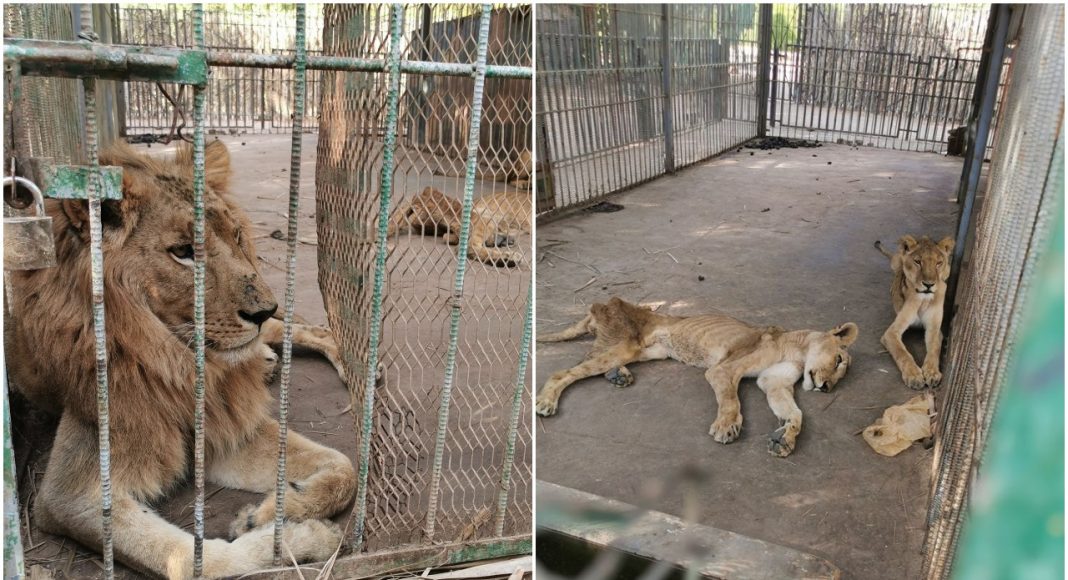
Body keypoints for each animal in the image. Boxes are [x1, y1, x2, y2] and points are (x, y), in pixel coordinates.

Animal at [6, 142, 354, 580]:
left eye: (236, 236)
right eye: (184, 252)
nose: (263, 309)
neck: (176, 362)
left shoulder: (225, 424)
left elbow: (344, 467)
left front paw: (269, 512)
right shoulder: (69, 494)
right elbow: (191, 562)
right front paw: (303, 537)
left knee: (308, 329)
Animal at [534, 299, 858, 459]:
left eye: (841, 374)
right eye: (839, 361)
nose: (826, 388)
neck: (798, 351)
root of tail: (600, 305)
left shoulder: (773, 383)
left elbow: (795, 413)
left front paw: (785, 439)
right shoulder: (723, 370)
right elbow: (731, 400)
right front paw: (727, 427)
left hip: (647, 352)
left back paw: (619, 375)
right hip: (623, 344)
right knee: (565, 371)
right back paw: (546, 402)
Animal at [871, 234, 956, 390]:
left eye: (938, 263)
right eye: (918, 262)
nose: (929, 285)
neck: (923, 300)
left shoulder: (935, 329)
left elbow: (934, 349)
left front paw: (932, 372)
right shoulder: (891, 333)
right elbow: (902, 353)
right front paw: (914, 376)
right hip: (897, 260)